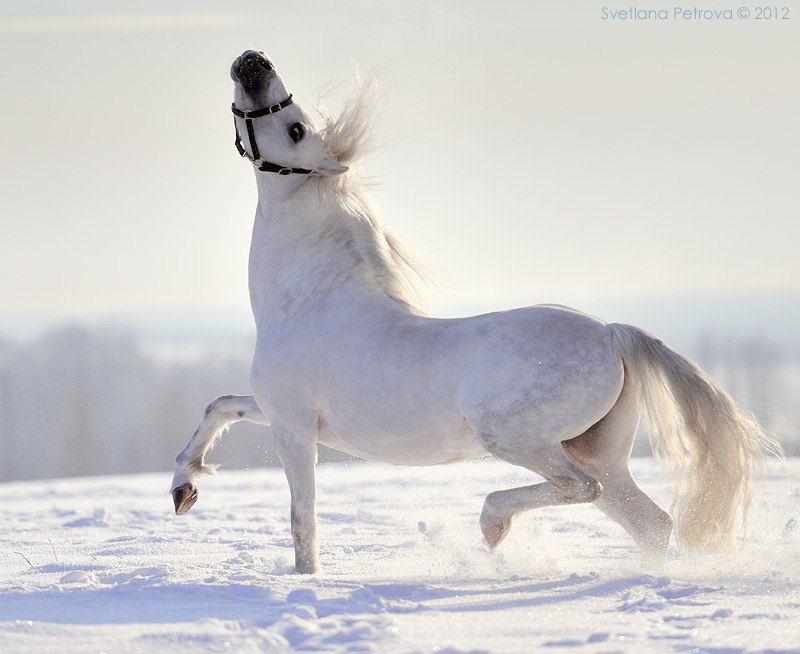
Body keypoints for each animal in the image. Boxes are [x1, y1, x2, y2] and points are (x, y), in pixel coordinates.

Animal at [170, 51, 780, 576]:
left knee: (583, 490)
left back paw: (492, 524)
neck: (309, 300)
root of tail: (611, 335)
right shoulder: (274, 410)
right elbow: (220, 406)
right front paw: (183, 488)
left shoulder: (295, 429)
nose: (254, 60)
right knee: (650, 521)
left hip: (518, 439)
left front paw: (305, 580)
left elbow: (303, 521)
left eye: (297, 127)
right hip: (598, 450)